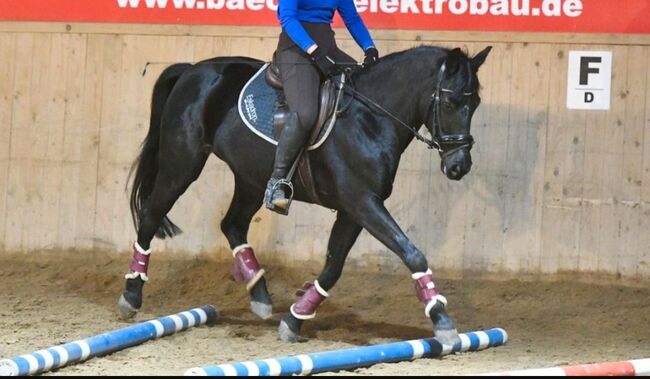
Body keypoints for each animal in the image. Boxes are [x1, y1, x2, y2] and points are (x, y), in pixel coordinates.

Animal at [117, 43, 492, 346]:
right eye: (451, 101)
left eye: (475, 103)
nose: (459, 166)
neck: (371, 117)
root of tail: (192, 70)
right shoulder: (362, 202)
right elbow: (412, 253)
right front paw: (441, 318)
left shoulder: (354, 209)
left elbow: (333, 267)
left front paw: (296, 317)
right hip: (182, 164)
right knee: (151, 215)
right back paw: (131, 296)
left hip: (251, 178)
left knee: (232, 224)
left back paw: (260, 293)